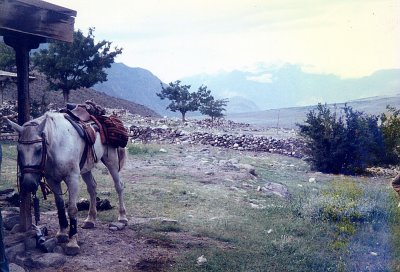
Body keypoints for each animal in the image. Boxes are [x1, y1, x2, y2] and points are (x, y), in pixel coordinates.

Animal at [7, 111, 127, 255]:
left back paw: (122, 217)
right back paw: (90, 219)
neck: (57, 146)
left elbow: (72, 209)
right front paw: (62, 233)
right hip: (86, 168)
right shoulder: (52, 180)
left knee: (119, 186)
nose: (28, 184)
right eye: (19, 150)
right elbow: (60, 206)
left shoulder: (72, 178)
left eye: (38, 149)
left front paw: (72, 242)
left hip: (111, 161)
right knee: (92, 187)